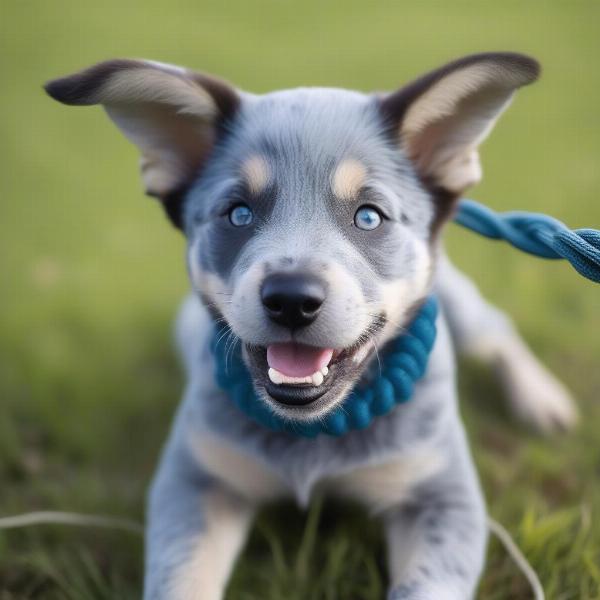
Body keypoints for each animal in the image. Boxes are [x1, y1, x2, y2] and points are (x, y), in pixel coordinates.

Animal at [44, 52, 576, 600]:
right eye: (238, 213)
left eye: (369, 217)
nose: (291, 300)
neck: (314, 435)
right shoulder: (196, 479)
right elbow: (181, 581)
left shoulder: (442, 494)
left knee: (496, 332)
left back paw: (543, 400)